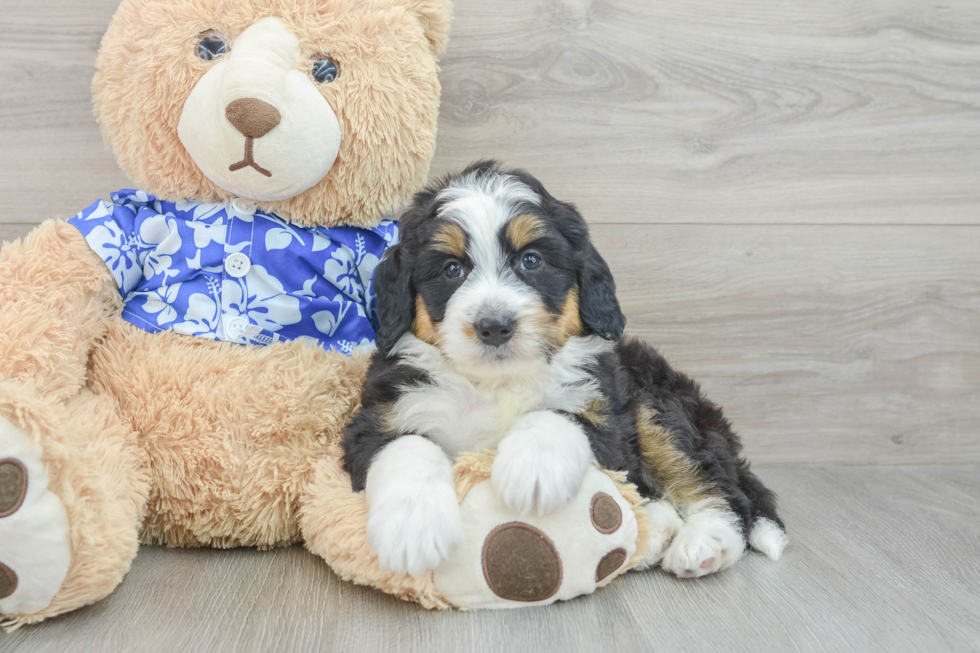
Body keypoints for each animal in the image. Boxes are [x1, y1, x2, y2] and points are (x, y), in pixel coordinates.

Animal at [340, 162, 784, 576]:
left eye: (531, 260)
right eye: (452, 269)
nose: (494, 326)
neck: (495, 382)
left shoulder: (605, 419)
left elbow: (556, 417)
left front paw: (533, 468)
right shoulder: (380, 416)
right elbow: (408, 447)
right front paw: (411, 528)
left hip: (658, 406)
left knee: (718, 489)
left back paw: (705, 543)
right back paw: (656, 530)